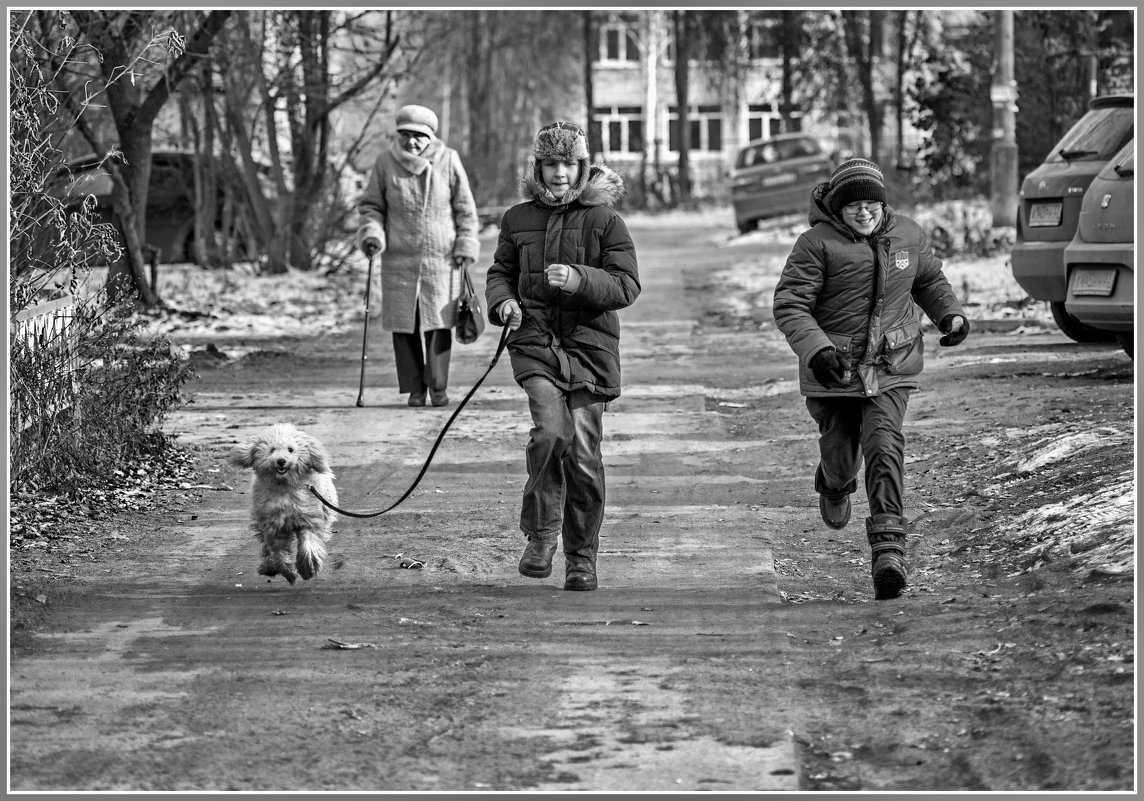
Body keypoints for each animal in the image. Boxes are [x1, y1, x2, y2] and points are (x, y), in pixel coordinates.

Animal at [228, 423, 336, 585]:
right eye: (272, 449)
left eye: (290, 449)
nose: (281, 461)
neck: (284, 486)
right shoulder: (274, 526)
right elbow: (279, 552)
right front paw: (288, 571)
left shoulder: (308, 518)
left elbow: (308, 543)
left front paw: (308, 567)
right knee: (267, 547)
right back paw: (268, 566)